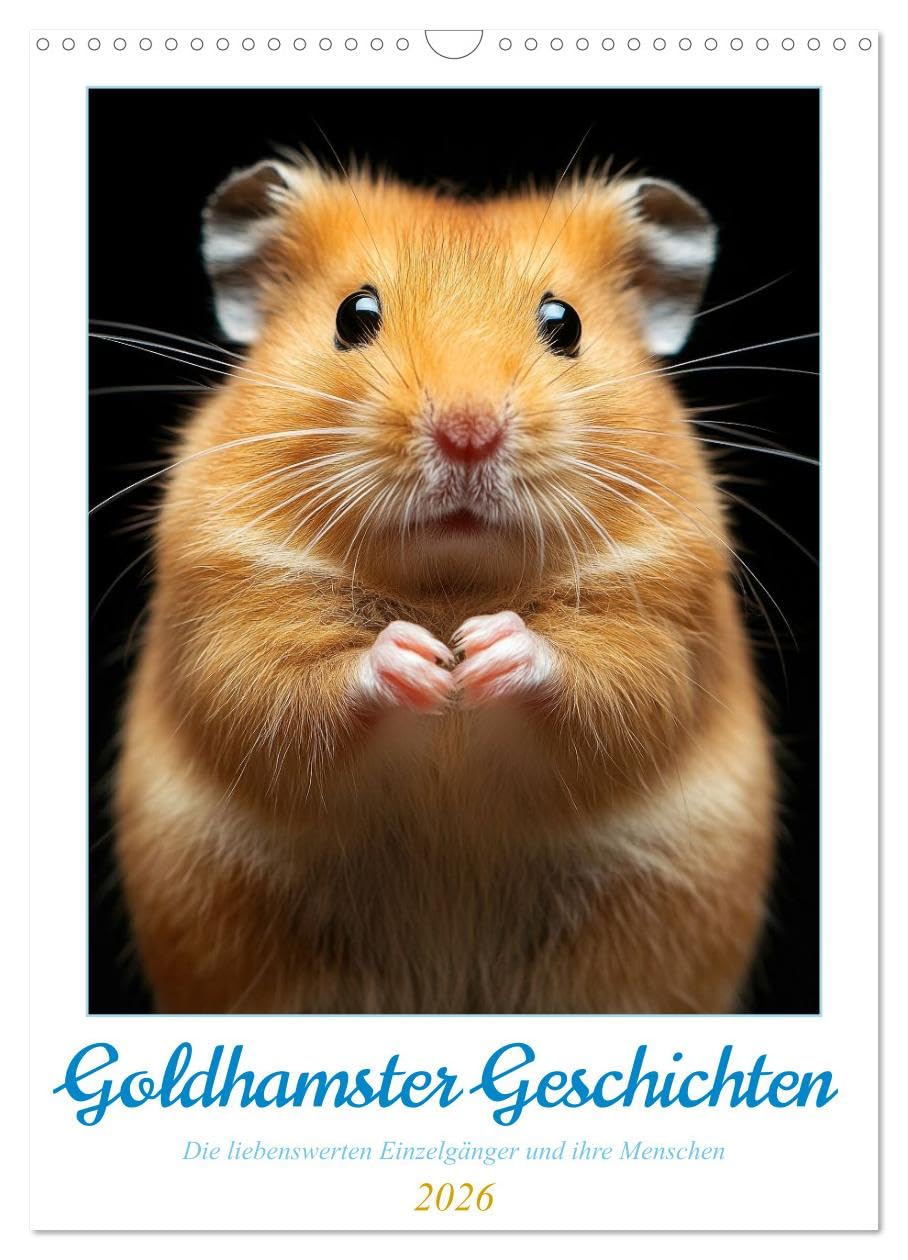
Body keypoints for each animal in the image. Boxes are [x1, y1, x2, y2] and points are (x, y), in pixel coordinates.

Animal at [114, 159, 776, 1013]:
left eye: (565, 323)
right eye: (353, 315)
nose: (468, 435)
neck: (450, 584)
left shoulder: (662, 618)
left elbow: (604, 681)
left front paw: (483, 652)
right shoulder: (232, 610)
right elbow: (289, 689)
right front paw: (422, 661)